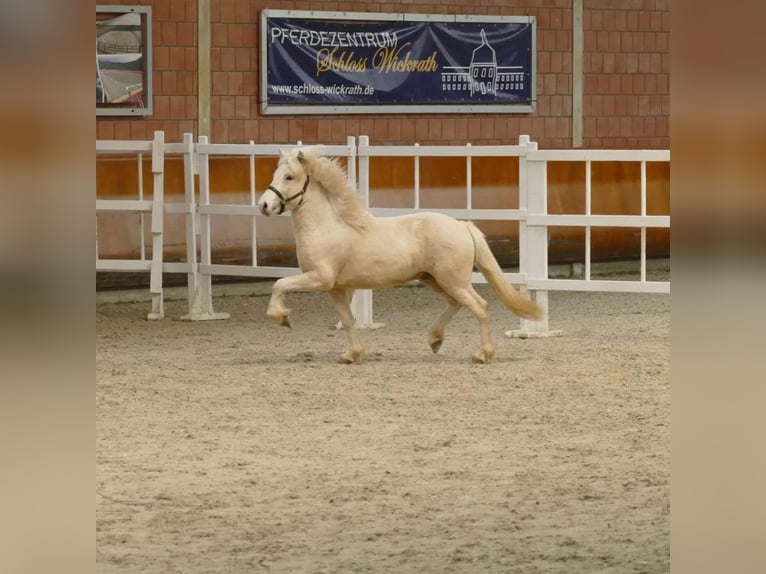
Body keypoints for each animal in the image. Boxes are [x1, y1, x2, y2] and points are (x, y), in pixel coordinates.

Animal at [257, 147, 543, 364]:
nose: (264, 205)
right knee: (456, 304)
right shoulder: (336, 288)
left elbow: (279, 284)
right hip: (433, 279)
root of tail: (463, 226)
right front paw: (352, 355)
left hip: (452, 280)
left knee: (479, 306)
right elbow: (347, 320)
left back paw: (483, 354)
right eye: (275, 173)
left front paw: (282, 317)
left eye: (290, 177)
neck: (327, 226)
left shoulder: (319, 278)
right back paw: (435, 340)